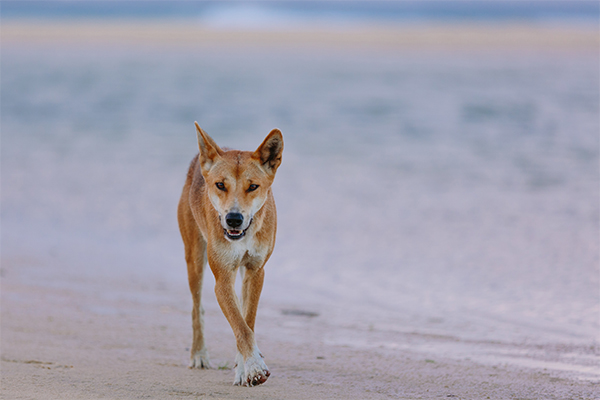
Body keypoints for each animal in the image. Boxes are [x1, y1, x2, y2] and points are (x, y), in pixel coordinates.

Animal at [176, 122, 284, 388]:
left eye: (253, 186)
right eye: (220, 185)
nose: (233, 219)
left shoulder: (255, 272)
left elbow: (247, 321)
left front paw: (244, 369)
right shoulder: (223, 279)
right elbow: (241, 326)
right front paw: (255, 367)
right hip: (195, 259)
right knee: (197, 309)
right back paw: (199, 355)